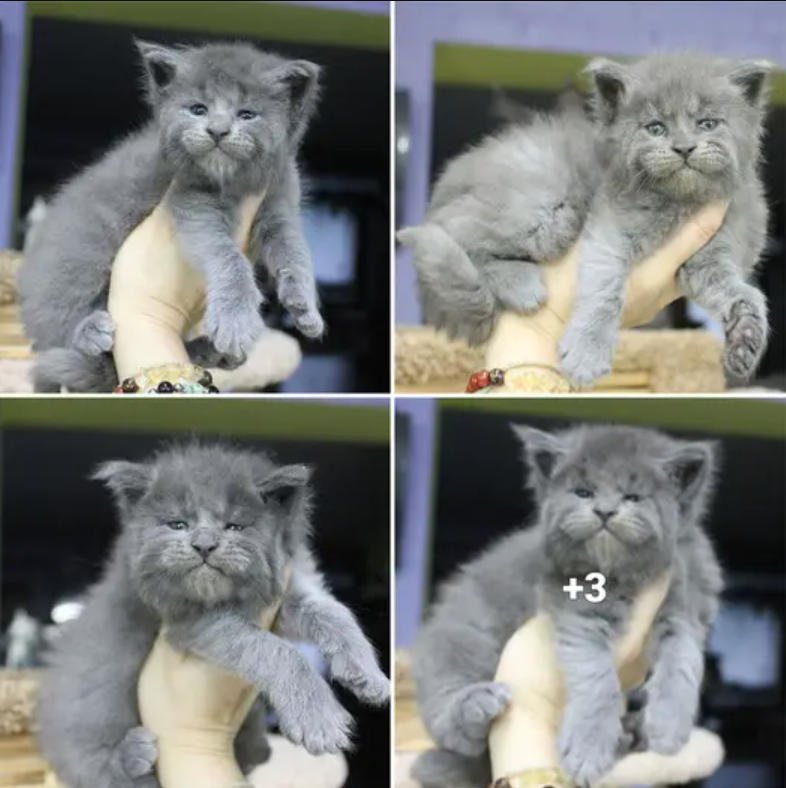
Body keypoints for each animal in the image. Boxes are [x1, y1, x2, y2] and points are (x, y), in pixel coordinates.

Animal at [19, 40, 324, 390]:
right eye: (198, 109)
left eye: (247, 114)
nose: (217, 130)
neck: (235, 184)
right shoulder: (193, 206)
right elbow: (227, 257)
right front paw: (235, 320)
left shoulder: (280, 202)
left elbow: (294, 250)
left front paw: (305, 307)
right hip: (79, 258)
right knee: (60, 321)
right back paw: (90, 331)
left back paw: (211, 352)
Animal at [38, 440, 388, 788]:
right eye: (178, 524)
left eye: (234, 526)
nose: (204, 544)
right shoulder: (189, 621)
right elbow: (275, 651)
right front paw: (318, 720)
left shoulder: (282, 594)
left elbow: (333, 613)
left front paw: (368, 674)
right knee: (97, 770)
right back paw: (132, 755)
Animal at [402, 52, 768, 388]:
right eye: (655, 128)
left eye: (708, 123)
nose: (684, 148)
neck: (681, 202)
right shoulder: (609, 233)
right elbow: (605, 290)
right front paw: (587, 353)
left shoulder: (706, 260)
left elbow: (742, 292)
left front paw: (745, 336)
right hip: (545, 209)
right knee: (452, 230)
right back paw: (521, 284)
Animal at [410, 424, 724, 788]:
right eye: (583, 492)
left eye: (633, 497)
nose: (605, 511)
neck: (622, 576)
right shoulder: (577, 610)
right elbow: (597, 675)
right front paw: (589, 748)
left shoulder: (684, 609)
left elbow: (683, 660)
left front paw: (669, 725)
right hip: (462, 639)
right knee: (452, 722)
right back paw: (475, 705)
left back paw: (631, 734)